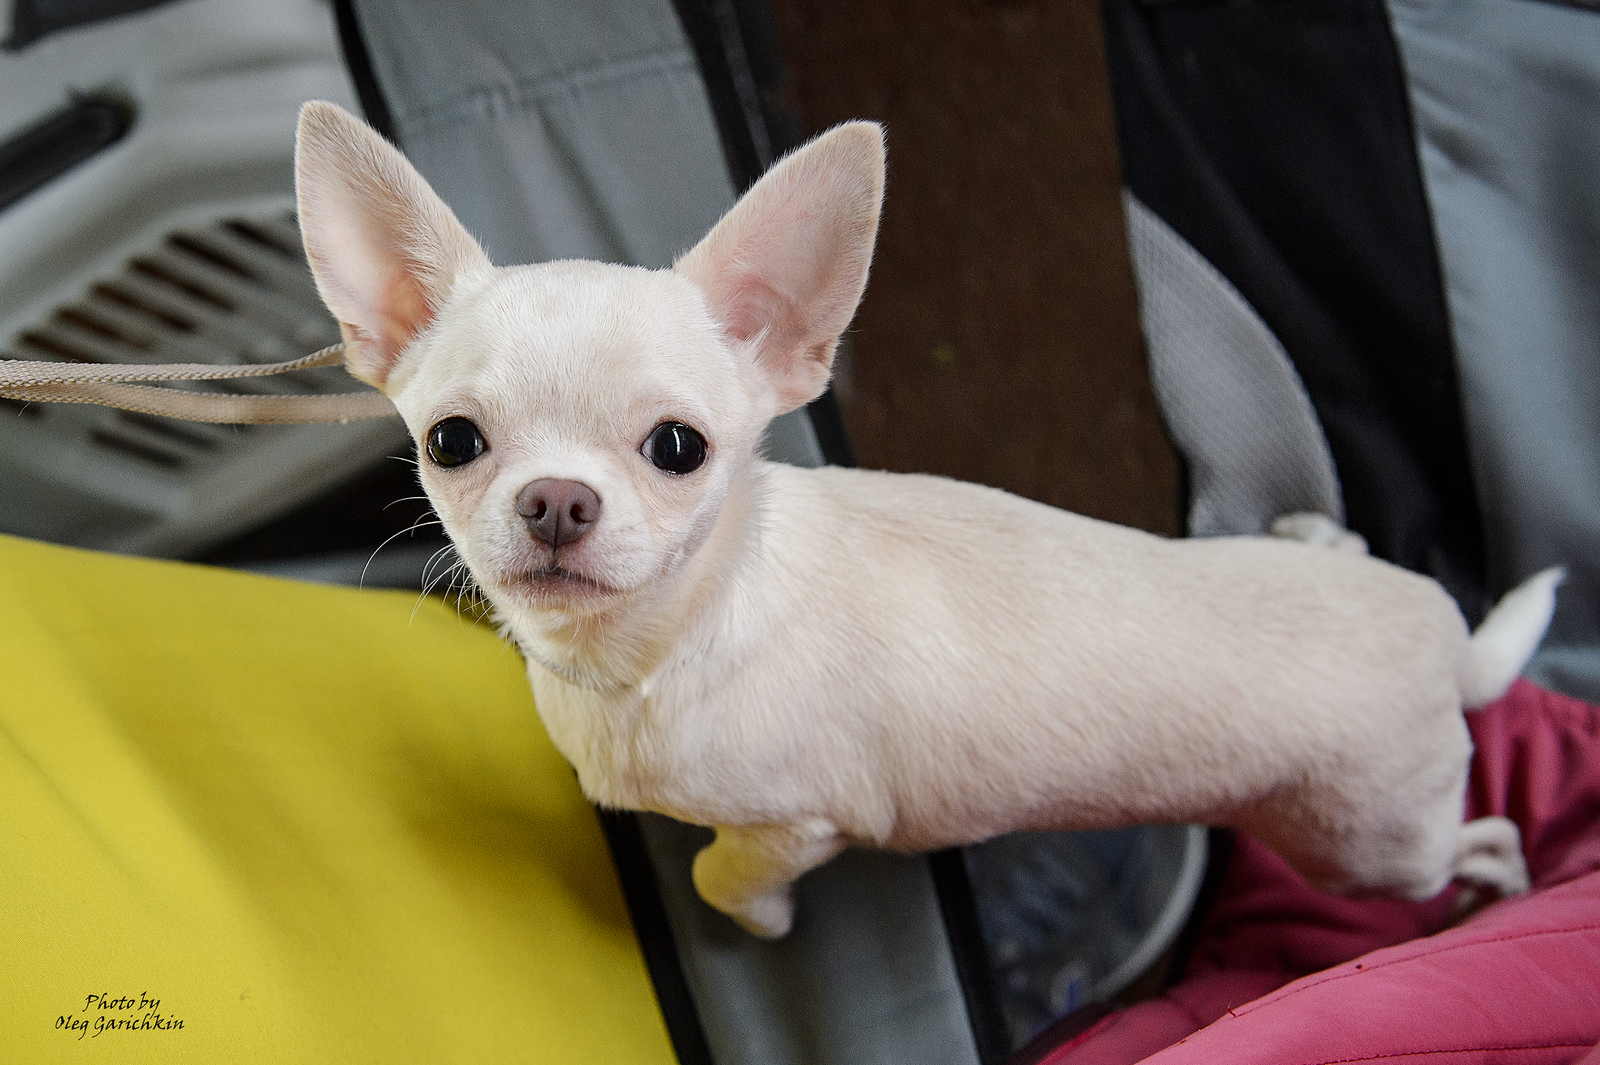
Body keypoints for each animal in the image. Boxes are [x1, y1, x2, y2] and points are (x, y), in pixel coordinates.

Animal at [294, 97, 1555, 927]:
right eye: (452, 442)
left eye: (677, 450)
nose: (557, 500)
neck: (656, 643)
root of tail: (1447, 639)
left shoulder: (796, 823)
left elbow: (719, 871)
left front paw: (755, 924)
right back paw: (1314, 530)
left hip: (1368, 842)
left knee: (1462, 839)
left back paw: (1498, 878)